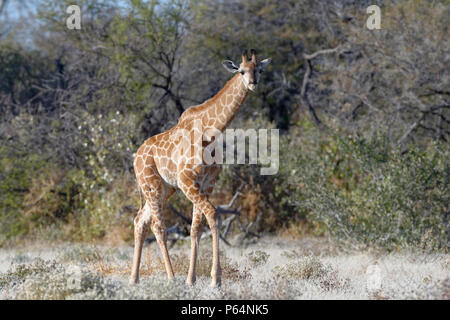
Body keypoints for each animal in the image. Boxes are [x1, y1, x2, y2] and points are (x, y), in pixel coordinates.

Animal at [130, 48, 270, 286]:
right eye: (241, 71)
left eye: (259, 69)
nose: (253, 83)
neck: (210, 132)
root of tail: (135, 157)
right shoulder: (187, 181)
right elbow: (214, 216)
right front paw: (215, 279)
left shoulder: (205, 184)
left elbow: (196, 228)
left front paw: (192, 279)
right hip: (152, 184)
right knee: (159, 227)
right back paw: (170, 278)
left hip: (165, 189)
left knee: (140, 220)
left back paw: (134, 279)